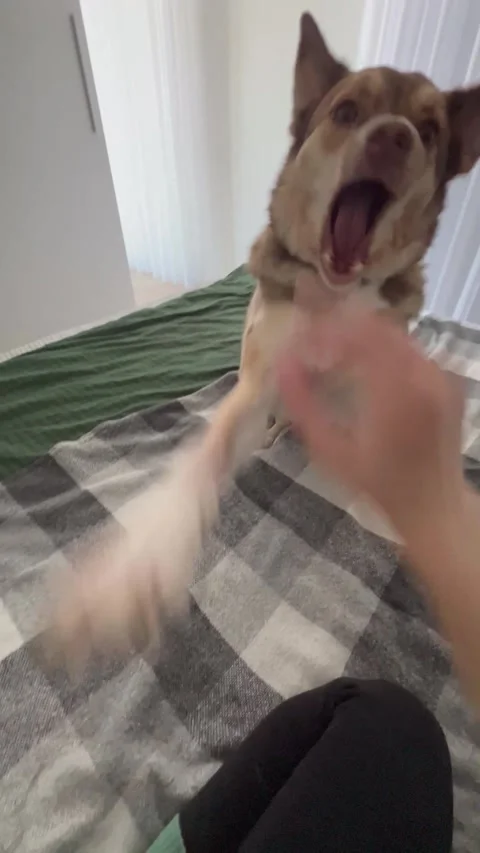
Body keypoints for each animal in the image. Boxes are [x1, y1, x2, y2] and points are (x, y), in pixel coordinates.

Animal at [48, 12, 480, 669]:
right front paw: (126, 579)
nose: (395, 137)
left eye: (430, 132)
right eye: (347, 111)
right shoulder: (257, 383)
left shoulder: (372, 387)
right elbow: (197, 468)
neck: (333, 295)